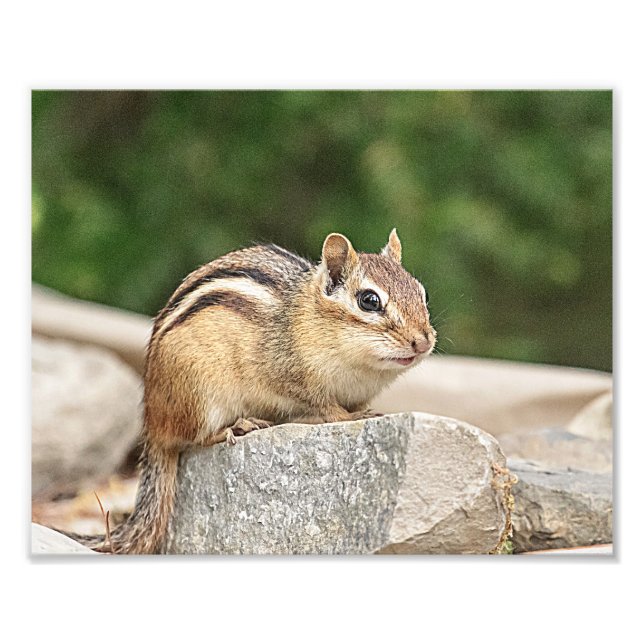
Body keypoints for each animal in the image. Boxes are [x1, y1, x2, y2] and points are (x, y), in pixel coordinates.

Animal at [66, 229, 436, 554]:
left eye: (422, 293)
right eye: (369, 301)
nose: (423, 341)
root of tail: (153, 424)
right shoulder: (290, 375)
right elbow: (324, 406)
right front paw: (349, 416)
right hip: (200, 395)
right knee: (194, 439)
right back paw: (238, 426)